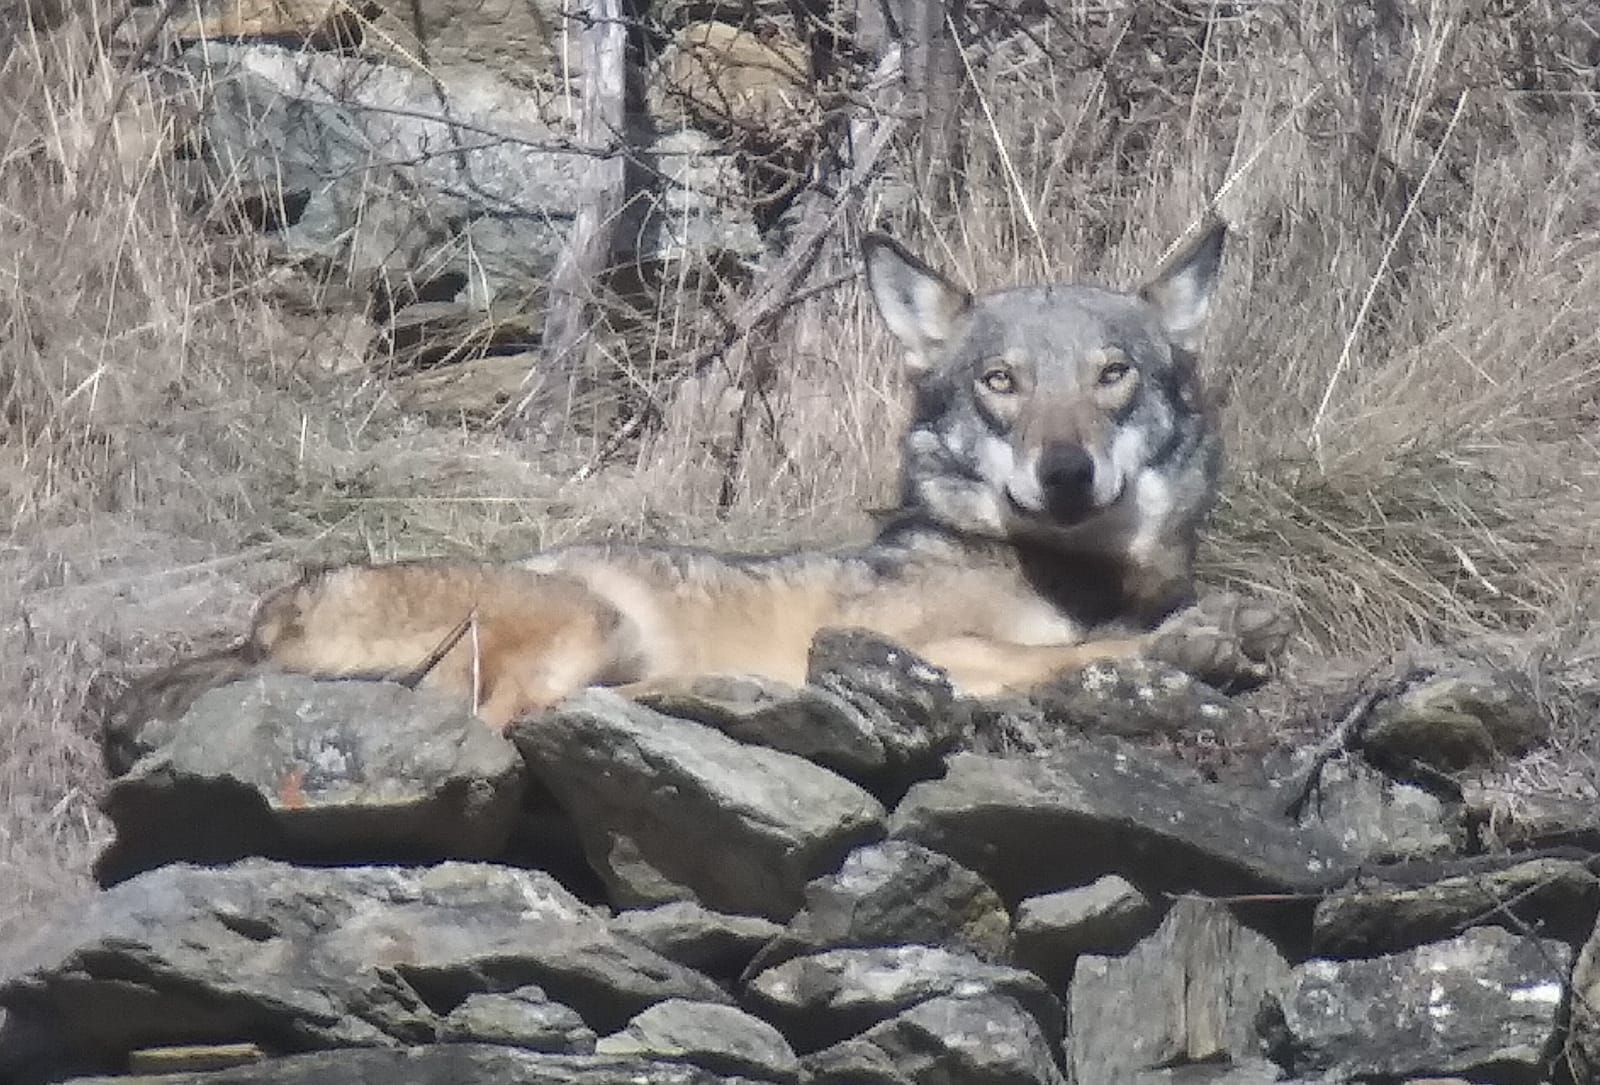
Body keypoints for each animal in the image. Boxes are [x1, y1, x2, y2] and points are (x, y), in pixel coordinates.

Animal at [109, 220, 1273, 748]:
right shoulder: (920, 644)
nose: (1065, 469)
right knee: (509, 717)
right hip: (584, 619)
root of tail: (258, 622)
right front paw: (1187, 644)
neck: (1068, 571)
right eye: (1003, 382)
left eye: (1112, 374)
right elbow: (1064, 654)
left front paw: (1202, 630)